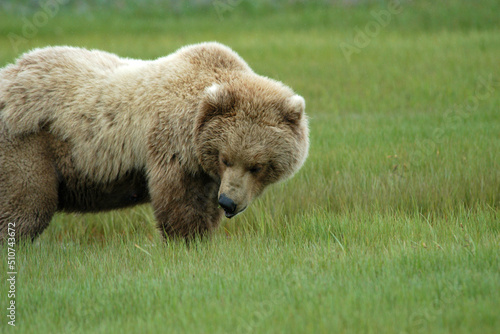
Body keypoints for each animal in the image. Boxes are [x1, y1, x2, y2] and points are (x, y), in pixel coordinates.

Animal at [0, 42, 308, 240]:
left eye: (257, 166)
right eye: (226, 158)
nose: (228, 202)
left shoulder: (206, 170)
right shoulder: (173, 145)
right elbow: (181, 203)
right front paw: (187, 240)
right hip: (29, 143)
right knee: (26, 205)